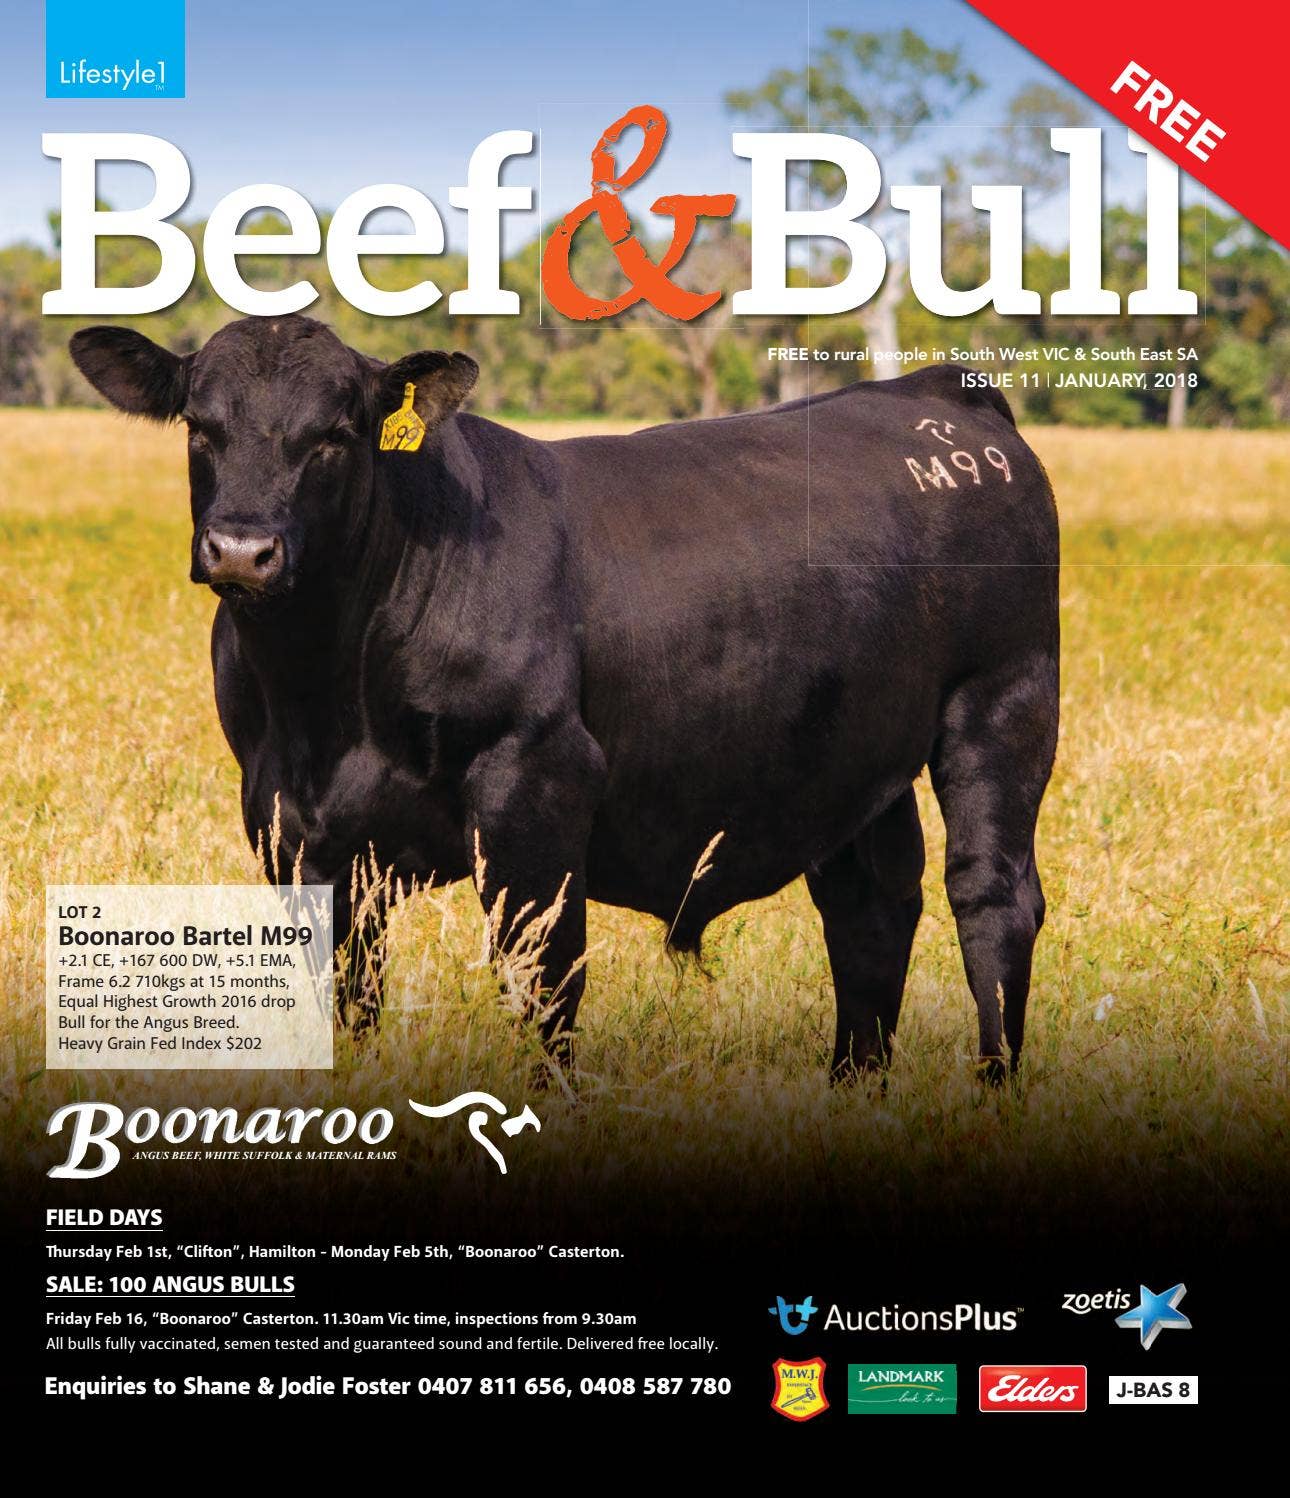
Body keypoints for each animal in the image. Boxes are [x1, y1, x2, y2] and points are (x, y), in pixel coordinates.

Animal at [69, 316, 1058, 1083]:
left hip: (1003, 704)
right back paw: (854, 1090)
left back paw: (992, 1092)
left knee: (993, 896)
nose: (242, 549)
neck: (326, 697)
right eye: (200, 428)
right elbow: (348, 993)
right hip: (854, 759)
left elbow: (543, 982)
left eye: (335, 434)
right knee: (870, 909)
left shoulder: (536, 790)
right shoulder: (293, 828)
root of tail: (940, 393)